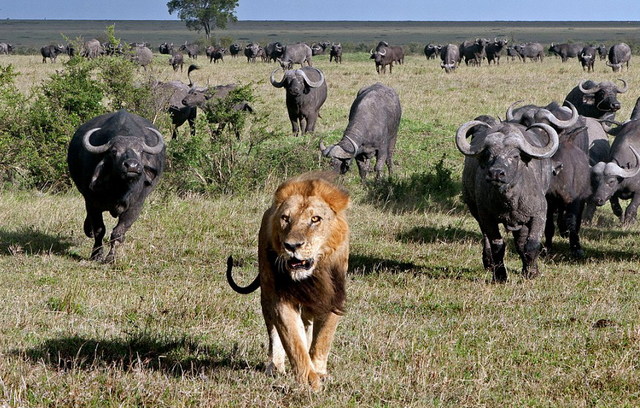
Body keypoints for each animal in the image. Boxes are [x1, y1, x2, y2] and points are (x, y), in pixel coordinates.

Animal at [67, 109, 165, 262]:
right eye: (114, 152)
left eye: (140, 151)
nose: (132, 166)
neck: (119, 189)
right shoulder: (92, 202)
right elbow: (99, 230)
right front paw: (97, 254)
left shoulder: (135, 206)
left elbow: (118, 233)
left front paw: (111, 257)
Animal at [228, 171, 350, 390]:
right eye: (285, 218)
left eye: (315, 219)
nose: (292, 246)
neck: (314, 274)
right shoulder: (281, 299)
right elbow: (293, 340)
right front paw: (309, 379)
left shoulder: (334, 297)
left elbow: (323, 339)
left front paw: (319, 371)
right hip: (267, 293)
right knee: (275, 332)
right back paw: (275, 366)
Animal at [456, 115, 560, 280]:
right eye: (488, 155)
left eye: (515, 156)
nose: (496, 173)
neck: (509, 201)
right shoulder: (487, 217)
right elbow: (497, 245)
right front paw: (500, 276)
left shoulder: (539, 214)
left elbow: (532, 244)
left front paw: (531, 272)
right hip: (476, 212)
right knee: (486, 238)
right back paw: (488, 262)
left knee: (521, 241)